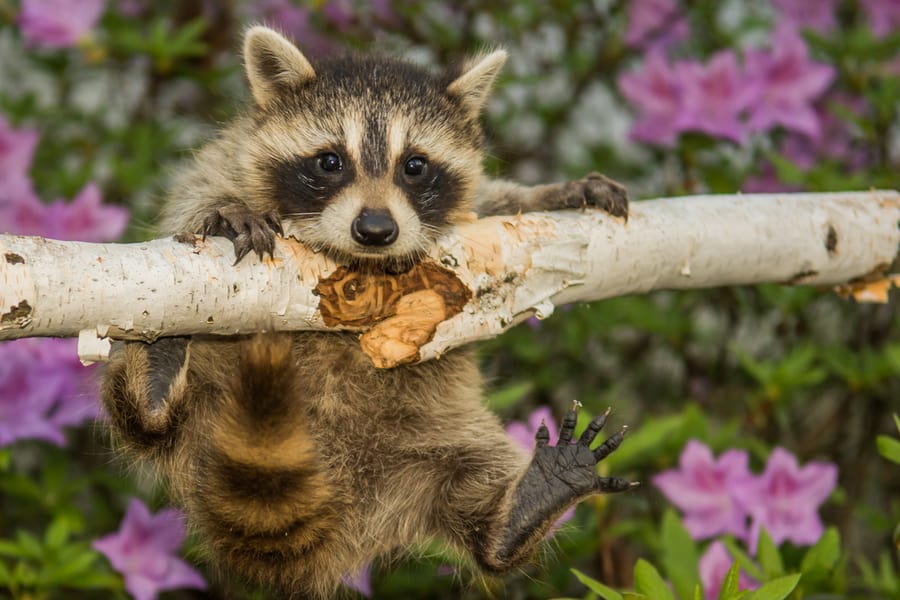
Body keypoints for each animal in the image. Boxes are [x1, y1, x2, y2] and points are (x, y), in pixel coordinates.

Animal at [98, 27, 632, 600]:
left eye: (414, 165)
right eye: (330, 162)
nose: (376, 229)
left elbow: (492, 200)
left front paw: (551, 190)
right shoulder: (229, 156)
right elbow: (197, 195)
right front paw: (226, 211)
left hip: (440, 439)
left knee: (475, 482)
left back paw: (521, 510)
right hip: (202, 417)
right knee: (142, 421)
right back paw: (155, 384)